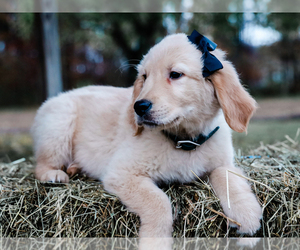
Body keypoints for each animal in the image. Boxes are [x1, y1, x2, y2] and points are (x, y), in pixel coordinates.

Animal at [31, 31, 262, 238]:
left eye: (175, 74)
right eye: (144, 76)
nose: (139, 107)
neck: (185, 141)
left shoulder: (223, 161)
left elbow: (229, 177)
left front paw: (247, 214)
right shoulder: (122, 174)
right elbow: (159, 202)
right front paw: (154, 239)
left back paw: (75, 168)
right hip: (60, 123)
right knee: (41, 164)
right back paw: (54, 175)